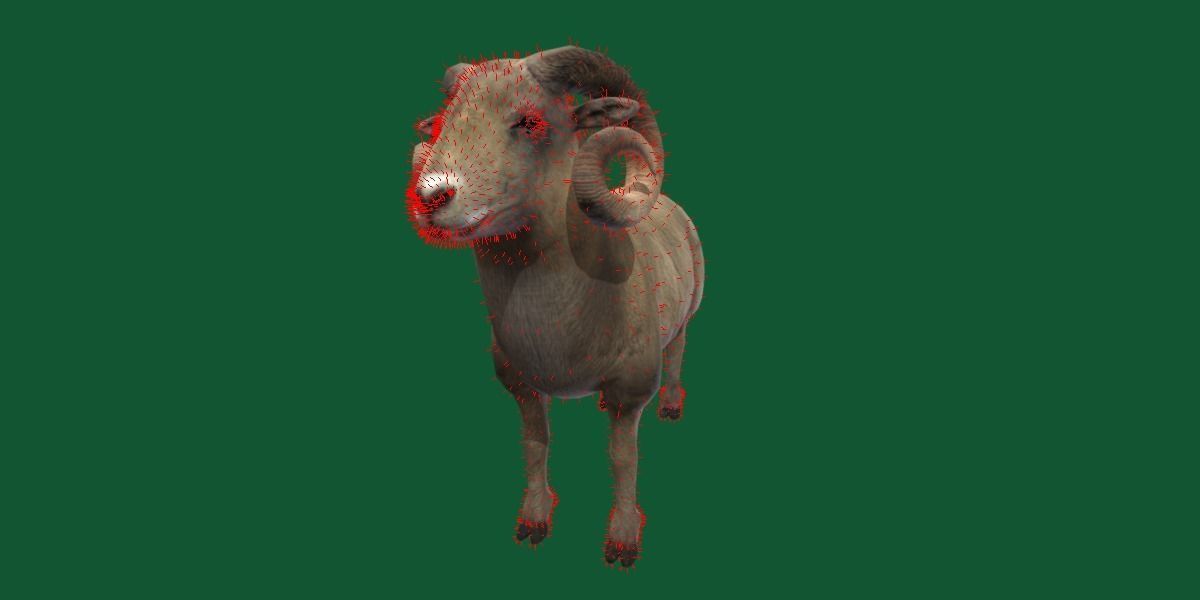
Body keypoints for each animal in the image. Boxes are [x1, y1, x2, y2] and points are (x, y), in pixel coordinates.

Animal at [406, 46, 704, 567]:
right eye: (444, 119)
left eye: (529, 121)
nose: (432, 196)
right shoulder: (522, 388)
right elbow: (535, 446)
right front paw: (533, 522)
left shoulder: (629, 394)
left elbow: (623, 460)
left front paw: (623, 541)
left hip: (685, 320)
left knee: (678, 353)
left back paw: (671, 406)